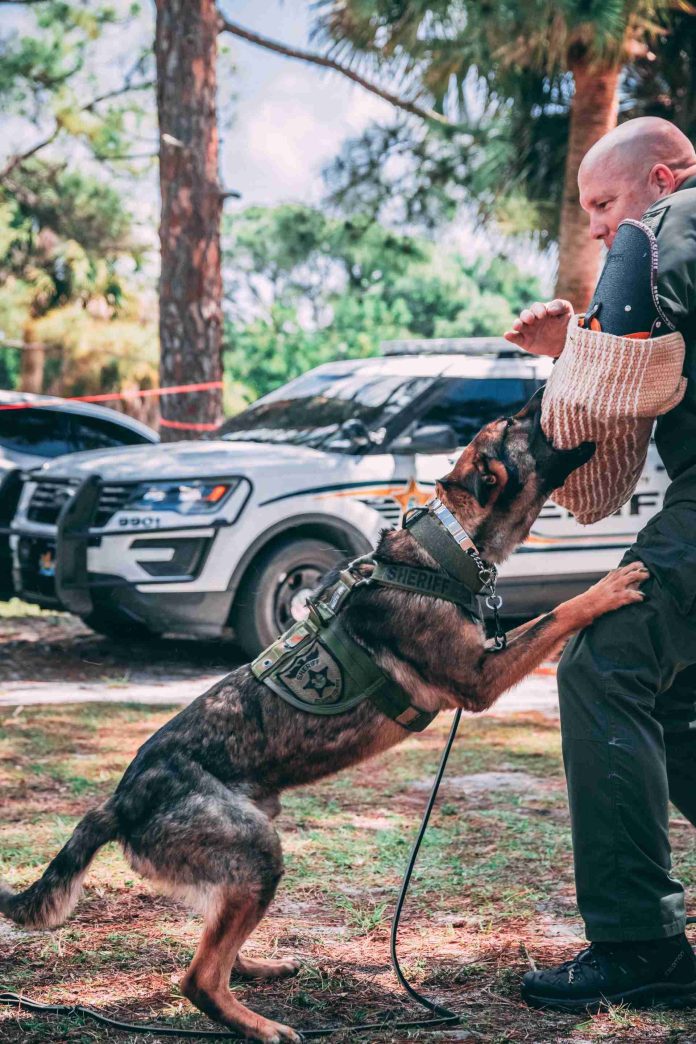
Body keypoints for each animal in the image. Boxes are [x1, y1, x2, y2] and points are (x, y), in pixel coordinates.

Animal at [1, 392, 655, 1044]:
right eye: (517, 424)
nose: (544, 393)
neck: (444, 551)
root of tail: (121, 798)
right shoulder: (480, 677)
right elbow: (556, 611)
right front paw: (608, 586)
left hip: (244, 860)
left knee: (216, 943)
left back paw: (258, 967)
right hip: (257, 853)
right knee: (198, 978)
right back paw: (260, 1025)